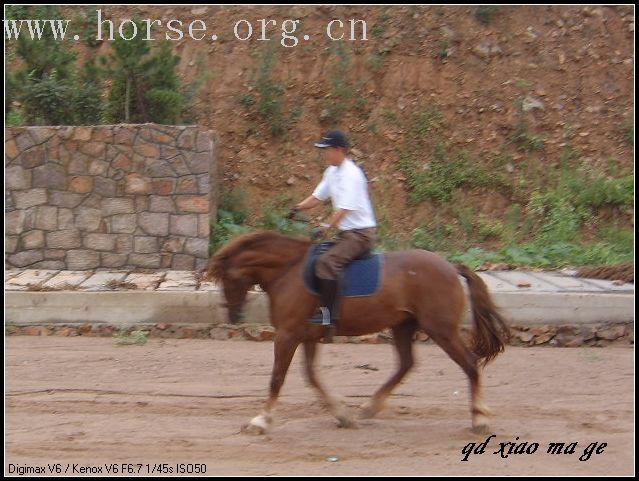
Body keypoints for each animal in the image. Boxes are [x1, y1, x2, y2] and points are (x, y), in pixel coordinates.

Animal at [208, 231, 512, 434]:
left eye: (229, 278)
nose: (232, 315)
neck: (288, 271)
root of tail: (450, 266)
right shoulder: (307, 336)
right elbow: (312, 376)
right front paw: (342, 415)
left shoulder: (287, 335)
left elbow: (277, 378)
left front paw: (260, 420)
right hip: (403, 325)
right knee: (406, 364)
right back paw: (370, 407)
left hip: (442, 330)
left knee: (470, 364)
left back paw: (479, 419)